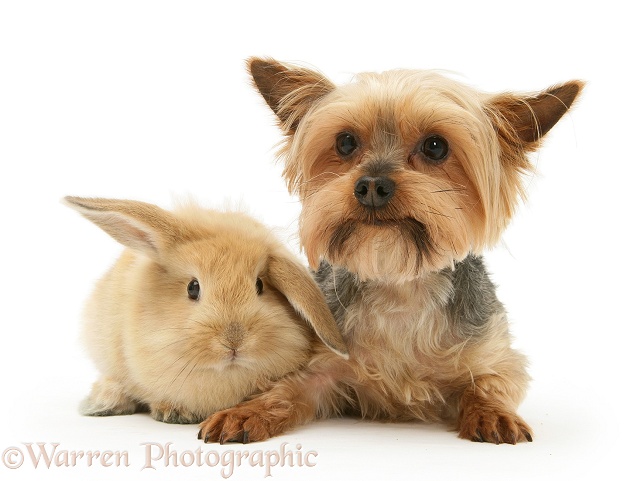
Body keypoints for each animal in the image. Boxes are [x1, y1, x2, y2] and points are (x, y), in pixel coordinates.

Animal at [199, 59, 584, 442]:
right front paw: (246, 412)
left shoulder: (494, 354)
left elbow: (489, 382)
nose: (371, 186)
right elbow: (286, 390)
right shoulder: (322, 365)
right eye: (345, 142)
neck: (396, 280)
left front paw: (493, 414)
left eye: (435, 146)